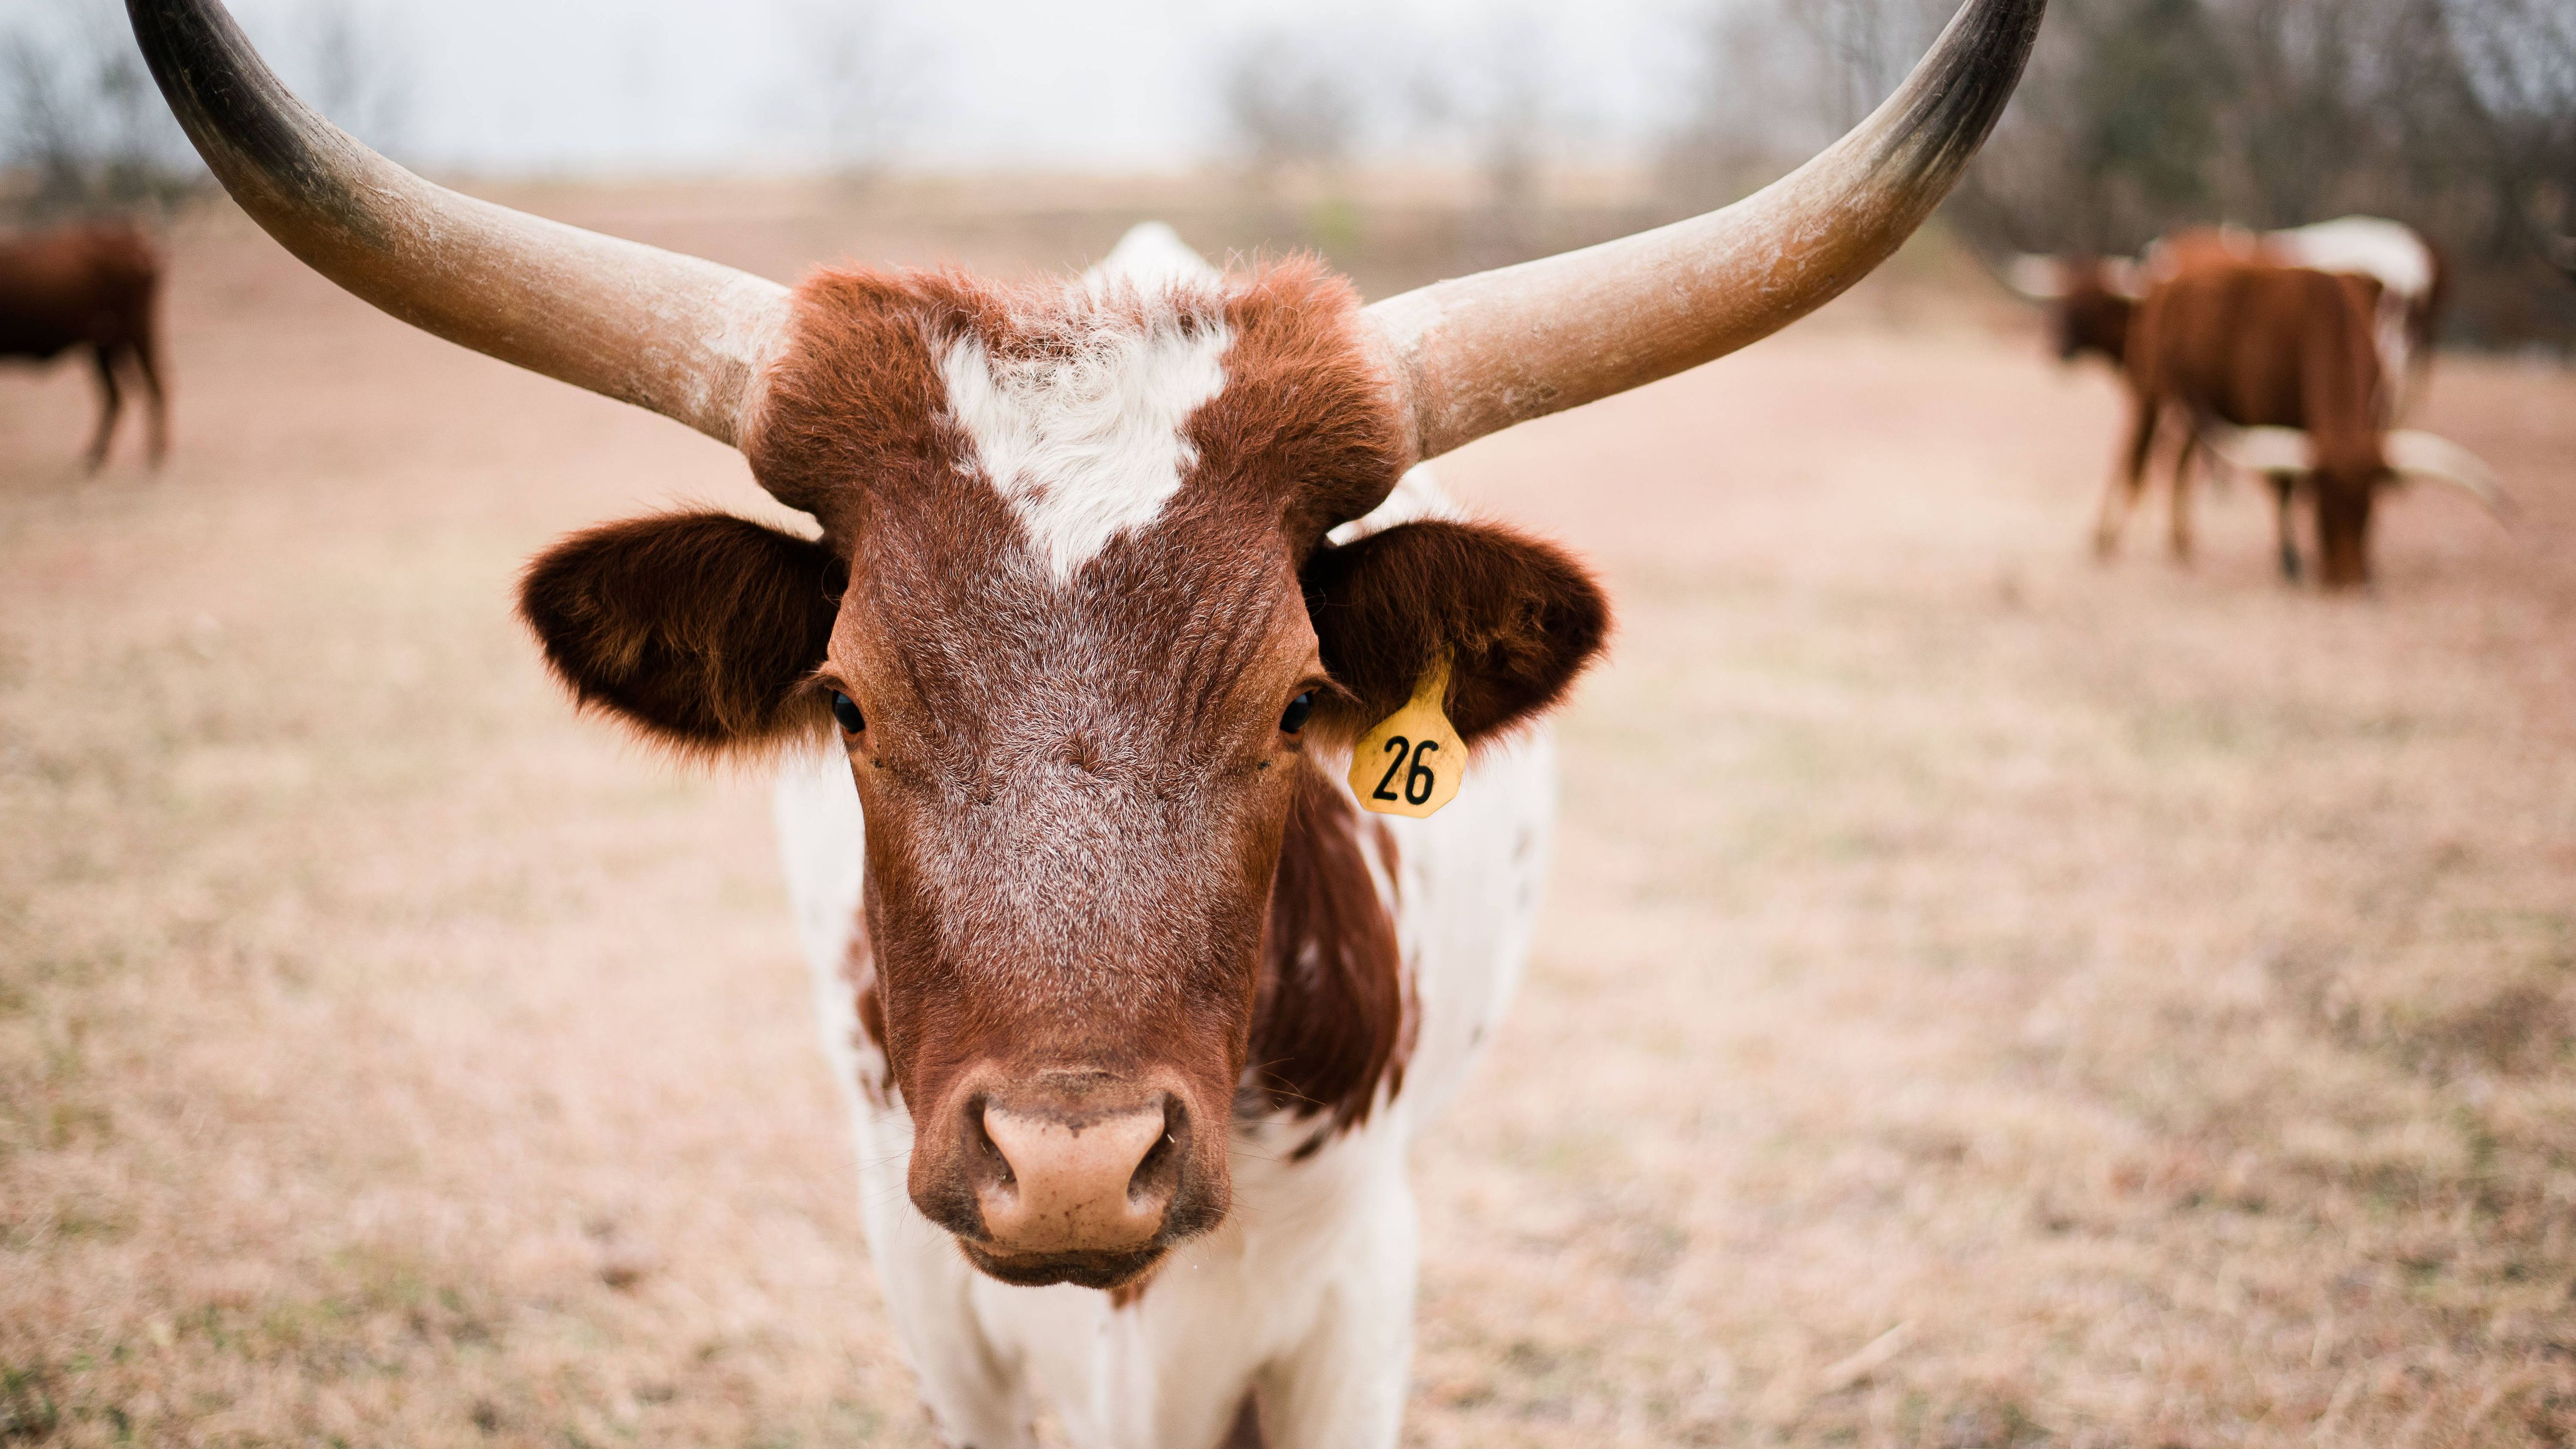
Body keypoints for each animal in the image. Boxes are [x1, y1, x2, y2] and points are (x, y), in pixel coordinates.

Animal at [1, 223, 170, 471]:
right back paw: (97, 456)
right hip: (107, 347)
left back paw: (152, 456)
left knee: (153, 384)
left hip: (135, 334)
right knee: (119, 395)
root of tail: (141, 249)